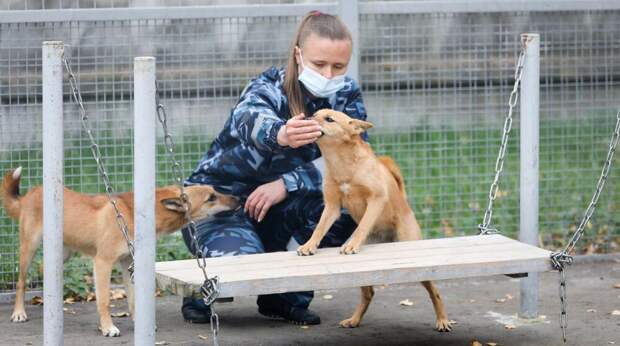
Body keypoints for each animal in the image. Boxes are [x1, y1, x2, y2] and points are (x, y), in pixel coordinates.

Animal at [1, 168, 239, 338]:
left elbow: (133, 299)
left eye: (216, 191)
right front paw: (108, 328)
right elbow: (105, 301)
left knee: (44, 268)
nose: (238, 199)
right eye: (211, 197)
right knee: (21, 282)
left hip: (62, 253)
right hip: (29, 247)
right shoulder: (102, 263)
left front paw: (140, 323)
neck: (134, 214)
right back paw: (19, 313)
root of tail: (30, 193)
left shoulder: (128, 264)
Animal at [298, 109, 452, 332]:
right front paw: (309, 246)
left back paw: (442, 320)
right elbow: (319, 229)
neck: (342, 164)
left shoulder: (376, 199)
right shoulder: (332, 206)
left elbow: (362, 226)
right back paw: (354, 320)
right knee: (369, 293)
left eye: (329, 119)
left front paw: (352, 245)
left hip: (415, 256)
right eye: (315, 113)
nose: (307, 118)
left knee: (435, 291)